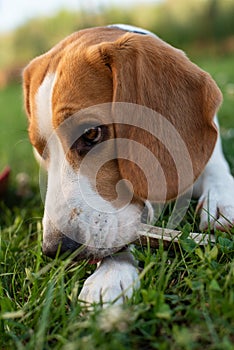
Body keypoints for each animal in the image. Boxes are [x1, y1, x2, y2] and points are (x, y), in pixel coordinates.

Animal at [22, 23, 234, 304]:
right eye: (40, 149)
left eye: (91, 133)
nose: (55, 250)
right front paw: (111, 273)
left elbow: (216, 169)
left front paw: (222, 202)